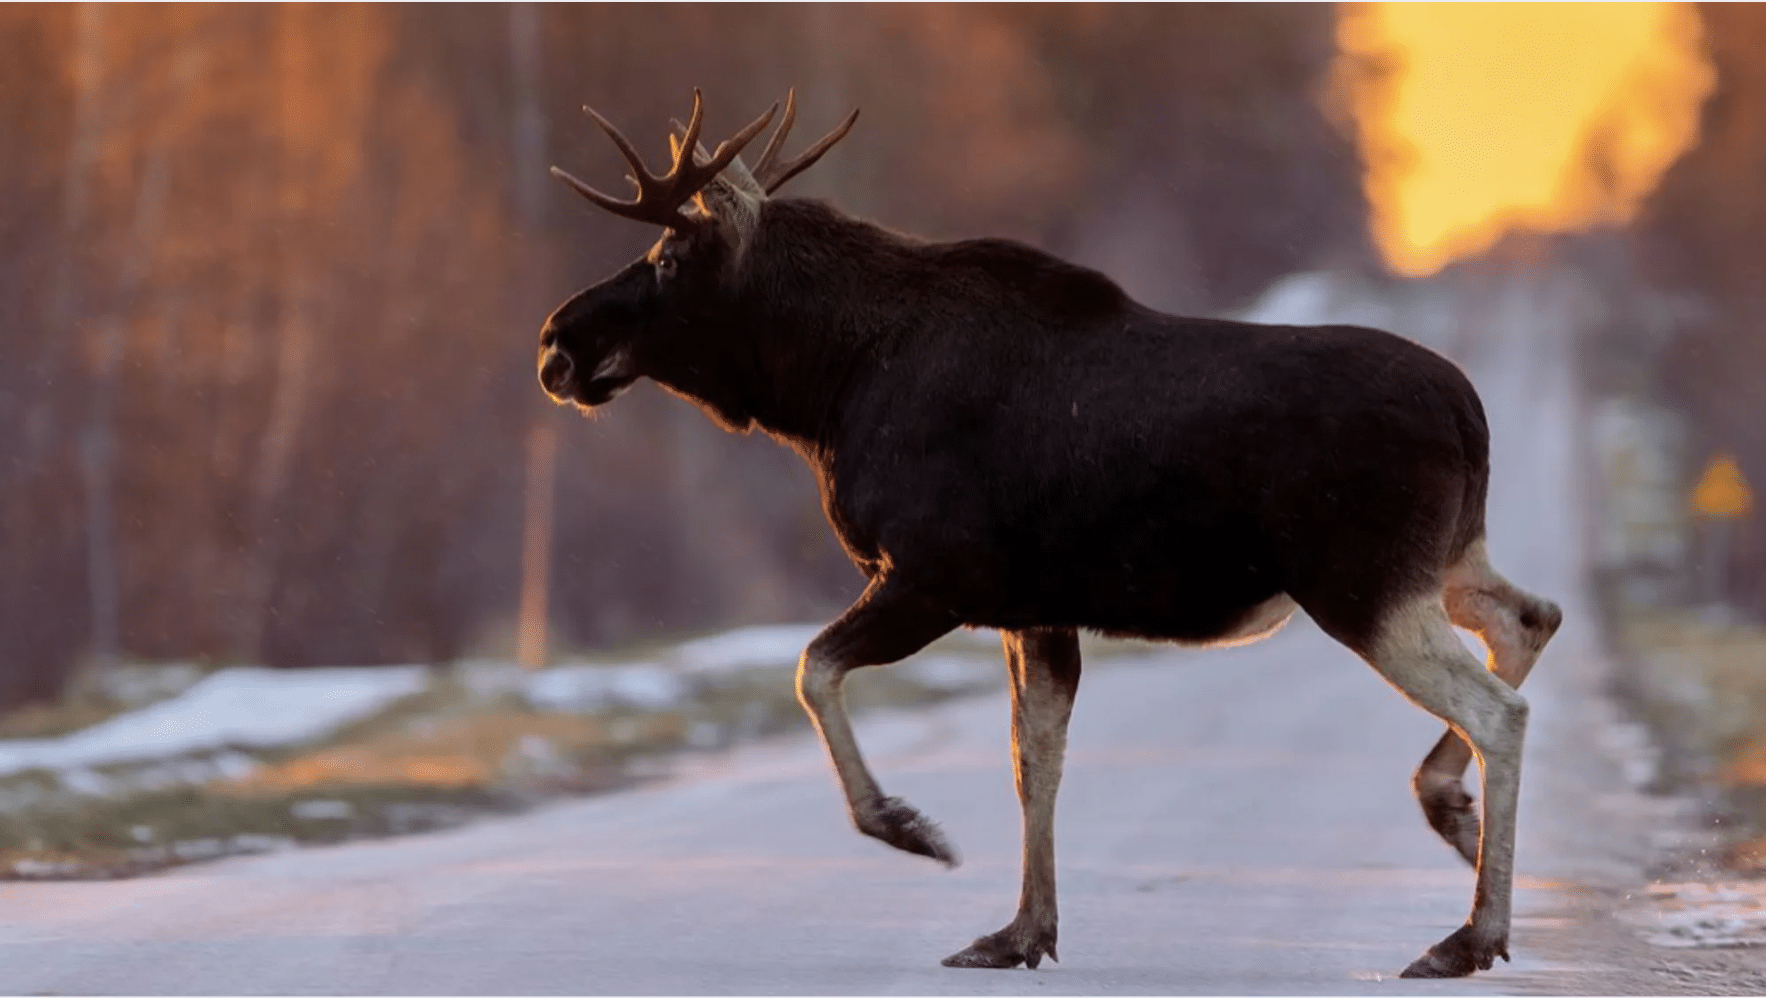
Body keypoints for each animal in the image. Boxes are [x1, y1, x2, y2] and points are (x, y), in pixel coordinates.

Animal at [536, 91, 1563, 980]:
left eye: (670, 259)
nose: (557, 342)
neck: (823, 386)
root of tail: (1470, 412)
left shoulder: (935, 576)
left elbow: (813, 668)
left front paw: (908, 827)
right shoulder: (1033, 608)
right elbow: (1036, 762)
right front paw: (1022, 930)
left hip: (1361, 584)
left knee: (1500, 709)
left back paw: (1470, 935)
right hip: (1442, 562)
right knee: (1532, 618)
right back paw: (1448, 808)